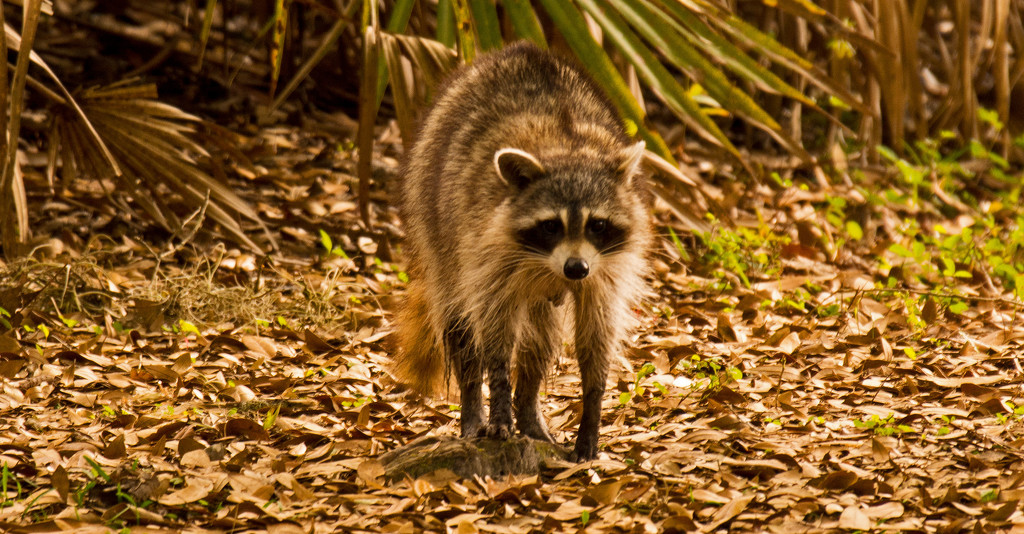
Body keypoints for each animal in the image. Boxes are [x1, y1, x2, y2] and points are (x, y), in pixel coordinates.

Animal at [395, 41, 651, 459]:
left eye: (596, 225)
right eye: (551, 225)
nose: (575, 269)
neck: (567, 148)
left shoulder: (607, 267)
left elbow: (597, 333)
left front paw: (592, 406)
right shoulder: (485, 246)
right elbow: (494, 333)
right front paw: (498, 402)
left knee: (540, 340)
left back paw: (529, 408)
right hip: (432, 209)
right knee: (462, 327)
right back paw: (474, 408)